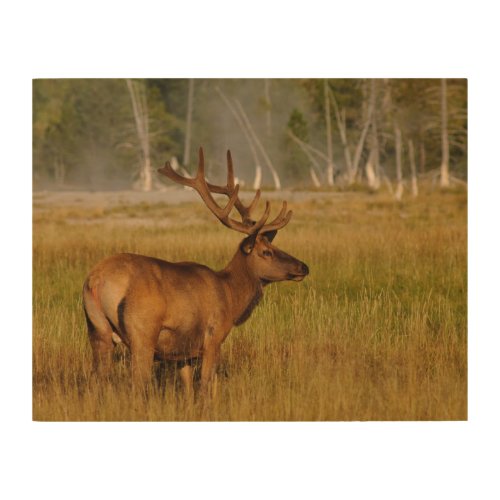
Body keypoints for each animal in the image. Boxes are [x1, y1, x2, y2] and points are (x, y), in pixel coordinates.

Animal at [83, 146, 308, 396]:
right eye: (266, 252)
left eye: (275, 246)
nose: (303, 267)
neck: (230, 296)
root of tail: (96, 280)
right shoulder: (213, 338)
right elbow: (205, 385)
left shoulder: (183, 354)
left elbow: (188, 390)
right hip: (142, 333)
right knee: (137, 383)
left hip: (97, 329)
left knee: (95, 380)